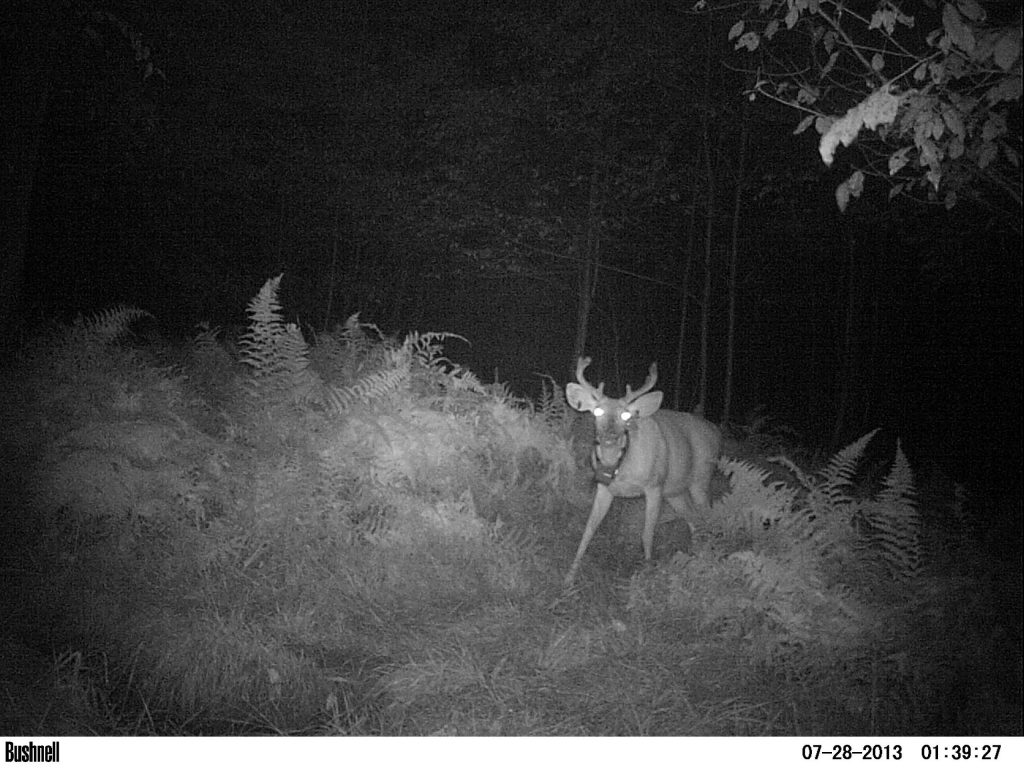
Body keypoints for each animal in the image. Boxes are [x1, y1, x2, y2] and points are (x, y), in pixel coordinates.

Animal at [561, 358, 720, 585]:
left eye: (625, 414)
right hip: (676, 491)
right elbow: (589, 529)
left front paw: (648, 572)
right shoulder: (605, 488)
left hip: (701, 478)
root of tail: (716, 431)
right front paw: (570, 576)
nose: (609, 435)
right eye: (597, 411)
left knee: (708, 516)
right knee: (694, 519)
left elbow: (647, 533)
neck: (621, 467)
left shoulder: (655, 485)